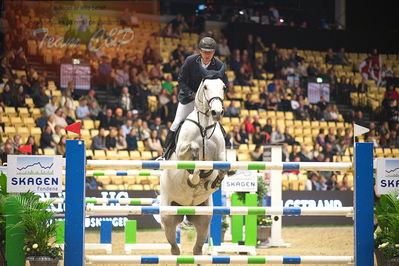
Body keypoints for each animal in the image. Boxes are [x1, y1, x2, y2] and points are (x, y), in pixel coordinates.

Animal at [160, 63, 228, 255]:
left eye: (223, 87)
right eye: (205, 87)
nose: (217, 112)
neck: (204, 126)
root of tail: (185, 207)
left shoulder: (221, 155)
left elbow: (223, 168)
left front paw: (214, 182)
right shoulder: (182, 152)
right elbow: (195, 155)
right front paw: (194, 178)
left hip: (203, 218)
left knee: (197, 249)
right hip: (168, 216)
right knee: (174, 248)